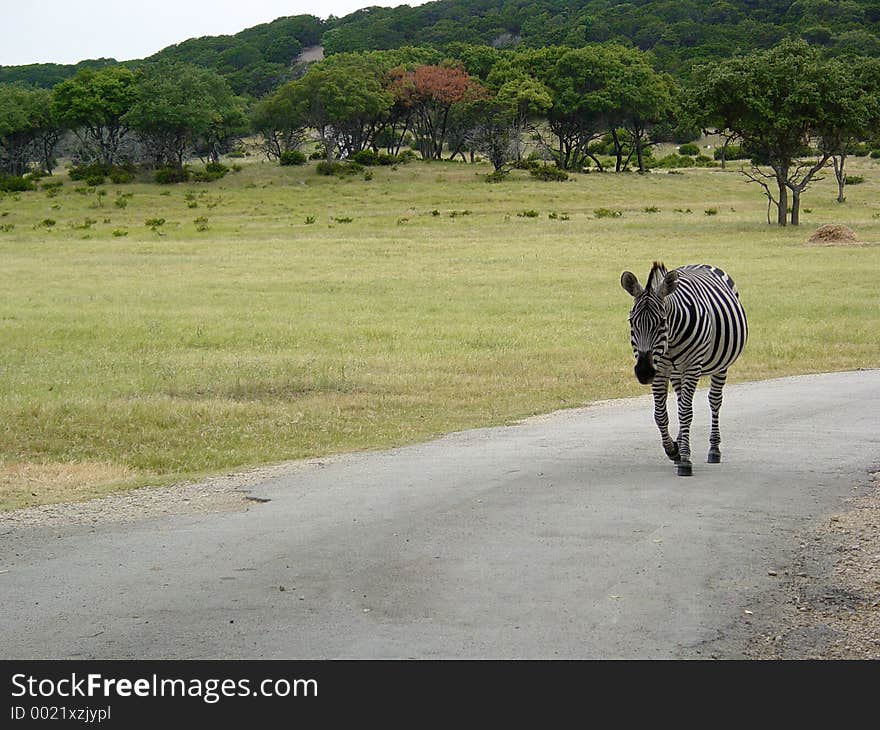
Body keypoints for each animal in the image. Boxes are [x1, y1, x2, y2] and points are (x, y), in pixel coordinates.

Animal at [620, 258, 748, 474]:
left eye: (662, 322)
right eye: (632, 322)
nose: (644, 372)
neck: (670, 341)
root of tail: (701, 264)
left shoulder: (692, 366)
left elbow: (686, 413)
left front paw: (686, 460)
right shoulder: (661, 369)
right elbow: (661, 414)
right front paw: (673, 450)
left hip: (719, 366)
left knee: (714, 401)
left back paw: (714, 449)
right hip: (676, 372)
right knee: (681, 401)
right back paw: (680, 444)